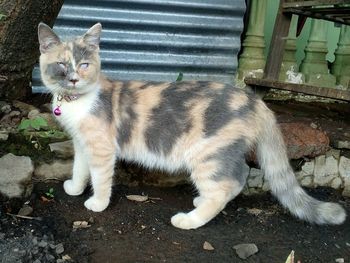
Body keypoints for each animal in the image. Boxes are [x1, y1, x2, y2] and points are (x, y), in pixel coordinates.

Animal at [37, 22, 346, 229]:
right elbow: (79, 168)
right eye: (61, 64)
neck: (77, 101)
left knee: (223, 187)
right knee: (237, 178)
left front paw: (98, 204)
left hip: (207, 155)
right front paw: (75, 188)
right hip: (222, 153)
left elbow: (100, 178)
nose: (74, 78)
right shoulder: (82, 143)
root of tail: (253, 99)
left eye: (85, 64)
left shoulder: (101, 149)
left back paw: (190, 219)